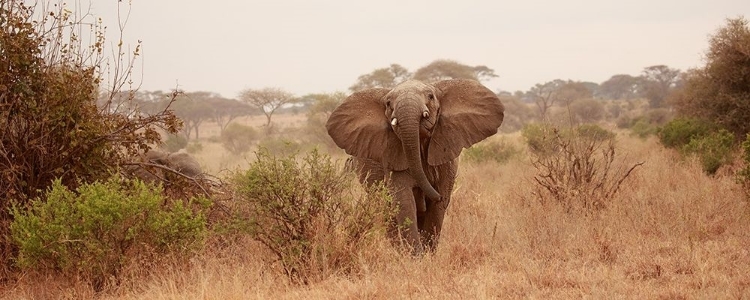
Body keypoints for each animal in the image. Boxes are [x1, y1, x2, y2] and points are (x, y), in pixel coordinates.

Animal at [328, 78, 506, 254]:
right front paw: (415, 256)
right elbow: (404, 202)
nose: (436, 195)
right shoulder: (395, 159)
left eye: (430, 96)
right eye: (388, 103)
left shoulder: (446, 161)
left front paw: (427, 254)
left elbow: (437, 208)